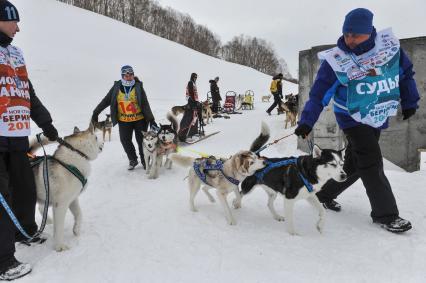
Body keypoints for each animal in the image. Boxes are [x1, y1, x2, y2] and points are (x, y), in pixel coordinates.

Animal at [28, 121, 103, 251]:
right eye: (97, 137)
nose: (103, 144)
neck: (77, 154)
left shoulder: (73, 199)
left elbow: (79, 214)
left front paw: (76, 229)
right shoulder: (60, 204)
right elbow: (59, 228)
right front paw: (59, 246)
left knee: (41, 208)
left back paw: (48, 221)